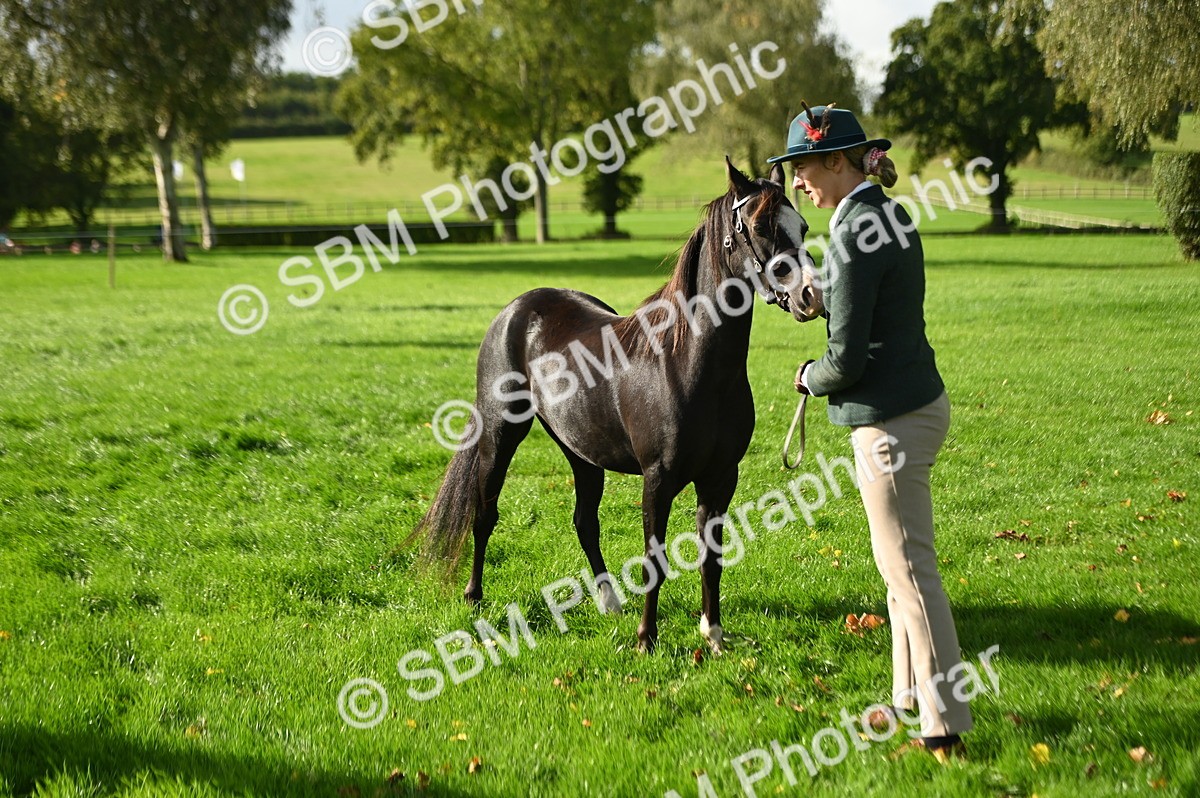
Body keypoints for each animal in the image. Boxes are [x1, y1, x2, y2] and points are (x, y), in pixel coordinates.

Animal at [410, 158, 821, 653]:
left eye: (801, 225)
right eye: (759, 225)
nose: (809, 296)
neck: (688, 363)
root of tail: (516, 308)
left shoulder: (721, 478)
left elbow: (712, 557)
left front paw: (714, 636)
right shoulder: (658, 480)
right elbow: (655, 559)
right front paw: (647, 640)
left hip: (582, 452)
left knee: (585, 521)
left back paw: (609, 602)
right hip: (499, 434)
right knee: (485, 514)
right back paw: (474, 597)